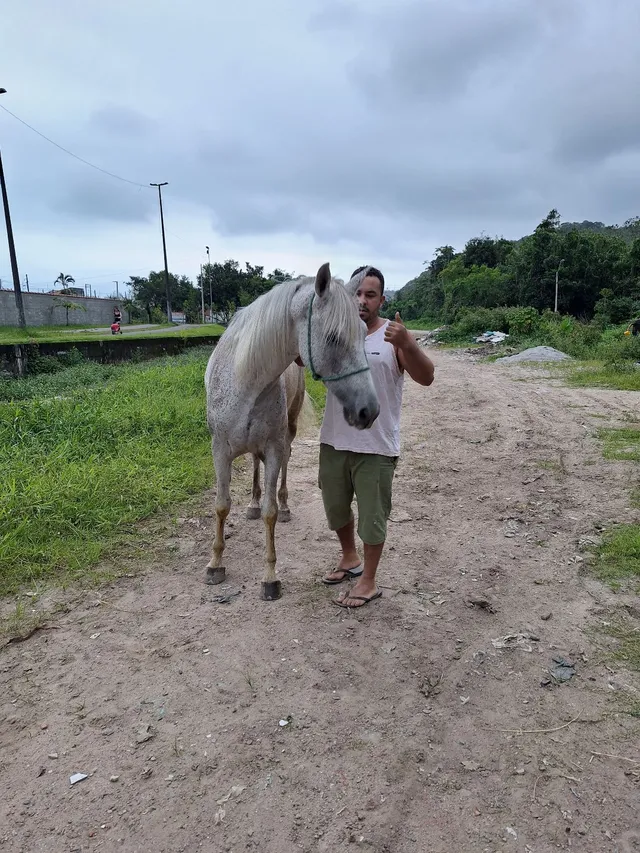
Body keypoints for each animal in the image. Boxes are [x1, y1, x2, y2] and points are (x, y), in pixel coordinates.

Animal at [204, 263, 380, 600]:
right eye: (334, 337)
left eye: (365, 334)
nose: (370, 410)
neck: (246, 379)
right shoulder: (220, 450)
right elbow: (221, 505)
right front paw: (215, 563)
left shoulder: (274, 447)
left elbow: (270, 512)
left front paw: (270, 577)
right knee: (254, 466)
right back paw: (252, 504)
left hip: (289, 430)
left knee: (286, 462)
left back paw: (283, 505)